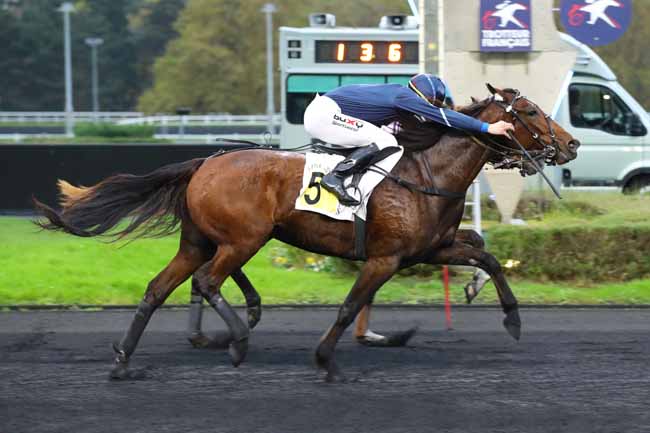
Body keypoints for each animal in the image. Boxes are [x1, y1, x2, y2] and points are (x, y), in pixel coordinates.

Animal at [33, 85, 576, 382]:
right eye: (530, 112)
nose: (570, 144)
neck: (427, 171)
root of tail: (205, 162)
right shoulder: (386, 258)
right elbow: (350, 305)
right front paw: (325, 361)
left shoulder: (429, 248)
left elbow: (485, 254)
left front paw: (508, 315)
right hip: (242, 239)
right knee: (207, 282)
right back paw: (236, 338)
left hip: (200, 241)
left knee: (157, 289)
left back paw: (124, 362)